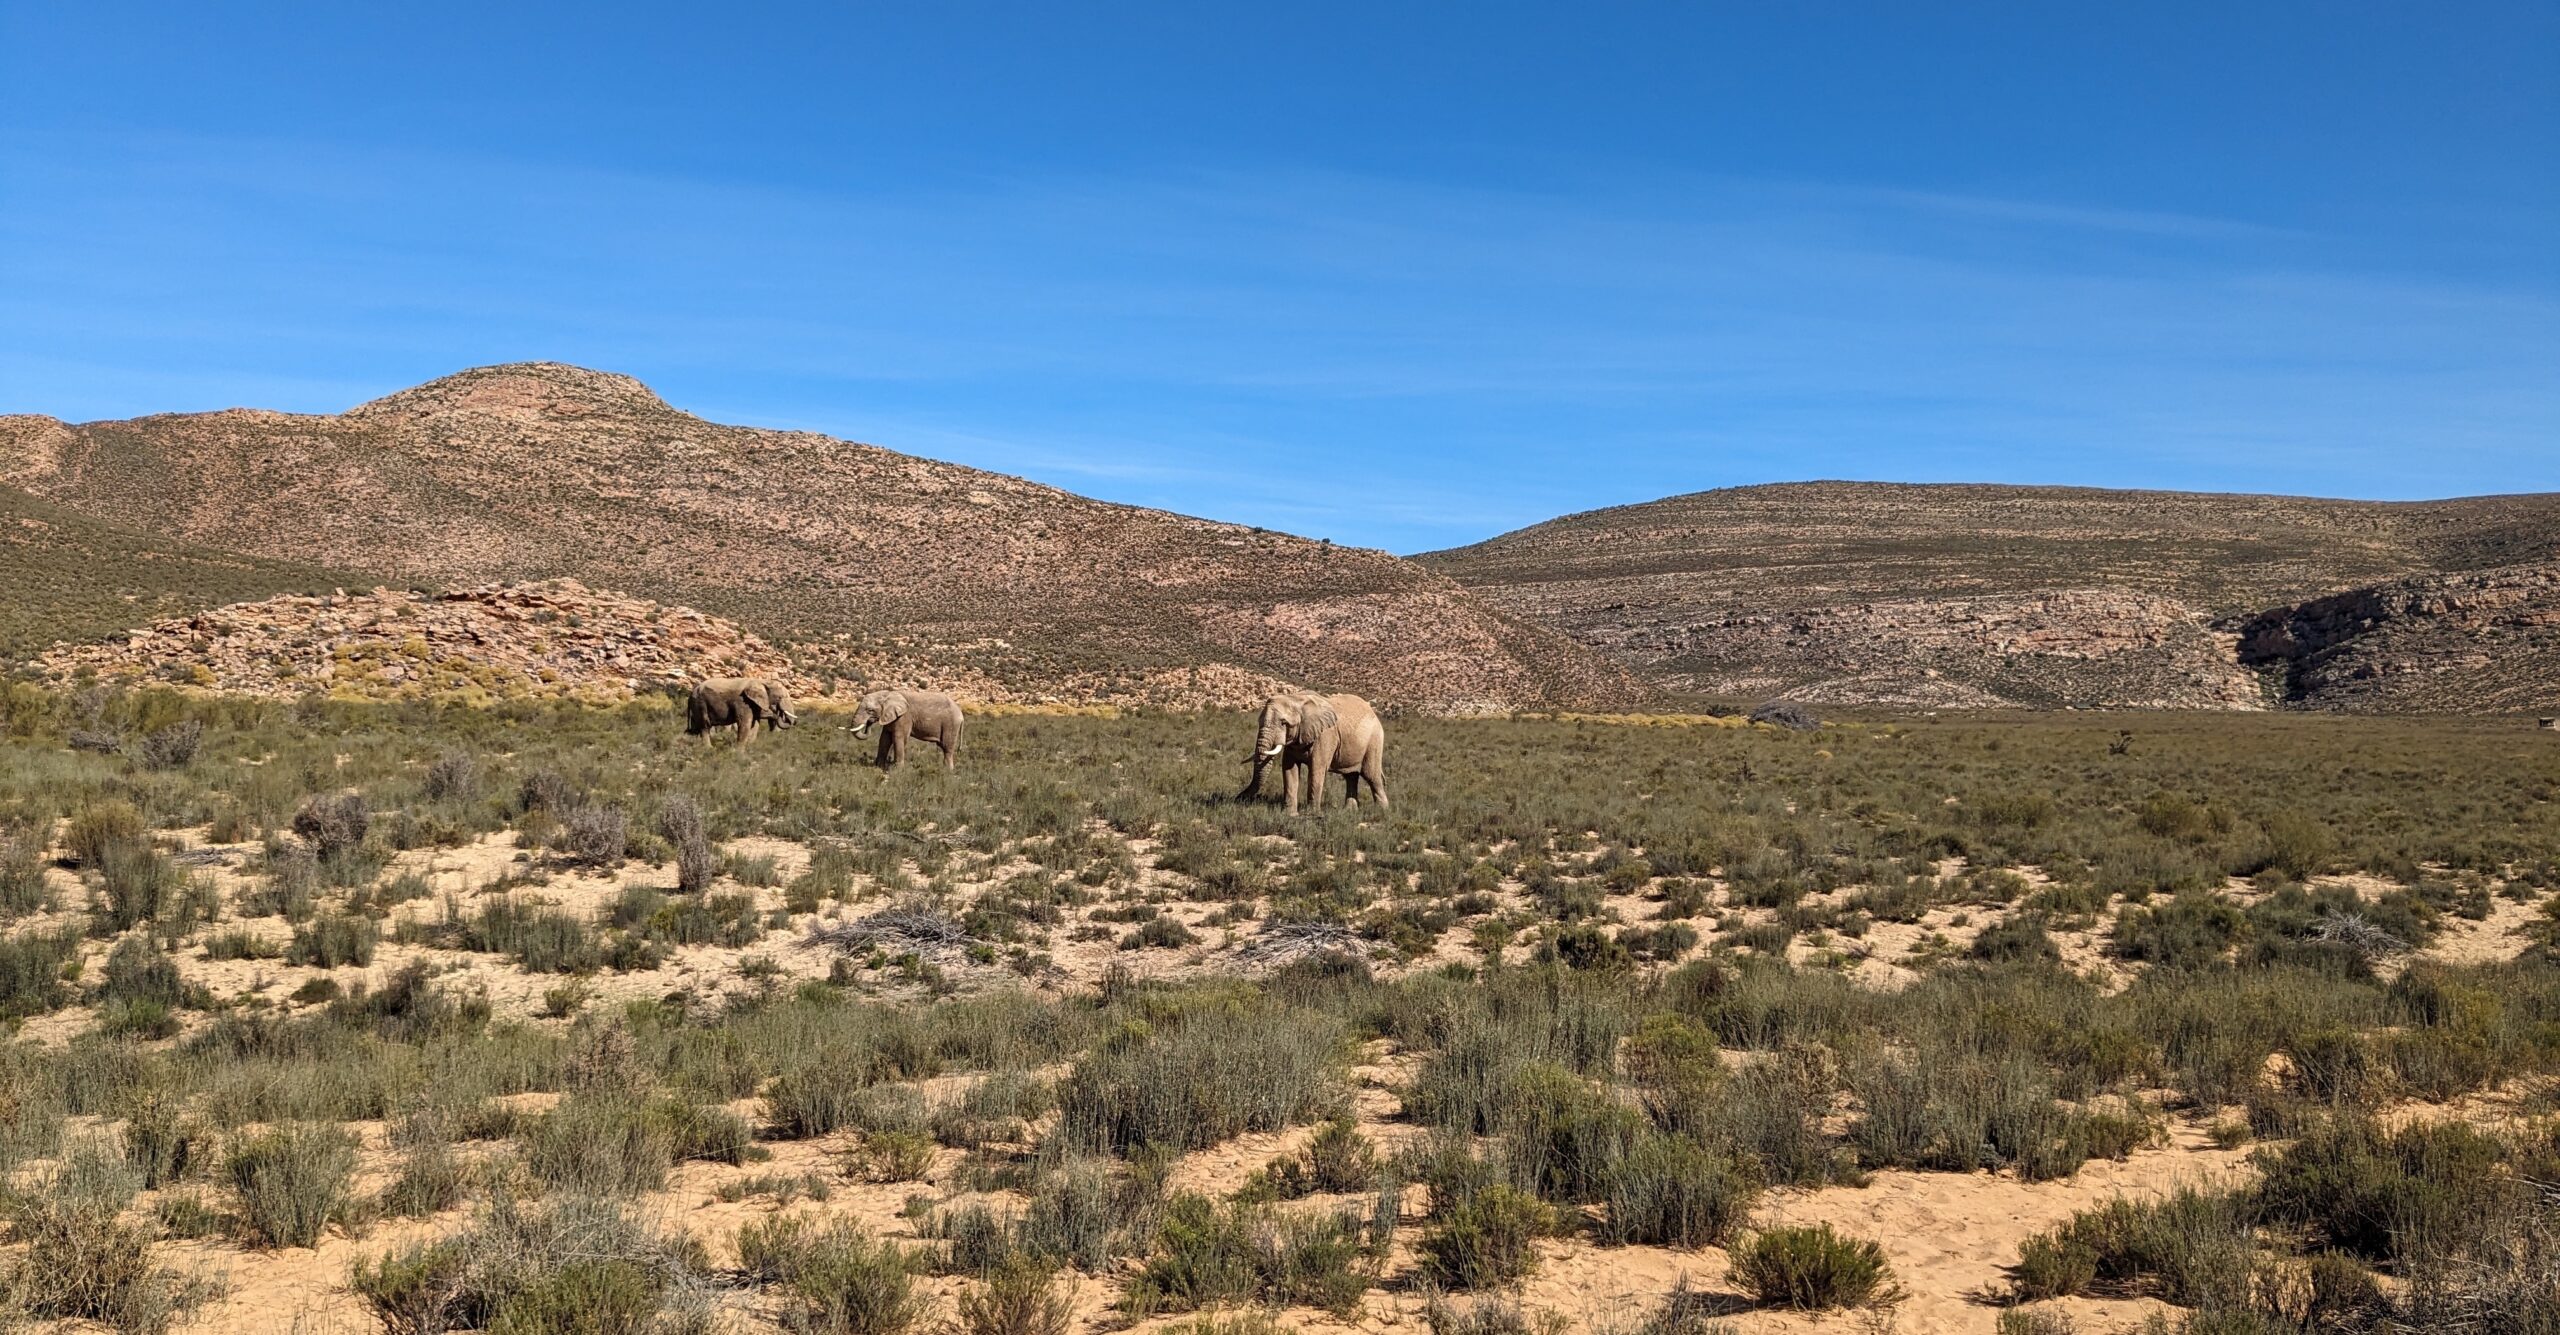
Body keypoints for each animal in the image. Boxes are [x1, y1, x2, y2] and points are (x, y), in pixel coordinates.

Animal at [1236, 692, 1388, 815]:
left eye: (1283, 723)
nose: (1238, 798)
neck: (1296, 699)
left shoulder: (1325, 735)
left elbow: (1316, 769)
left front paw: (1312, 815)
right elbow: (1289, 769)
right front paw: (1290, 815)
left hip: (1374, 740)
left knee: (1371, 776)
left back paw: (1382, 812)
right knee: (1351, 776)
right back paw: (1349, 812)